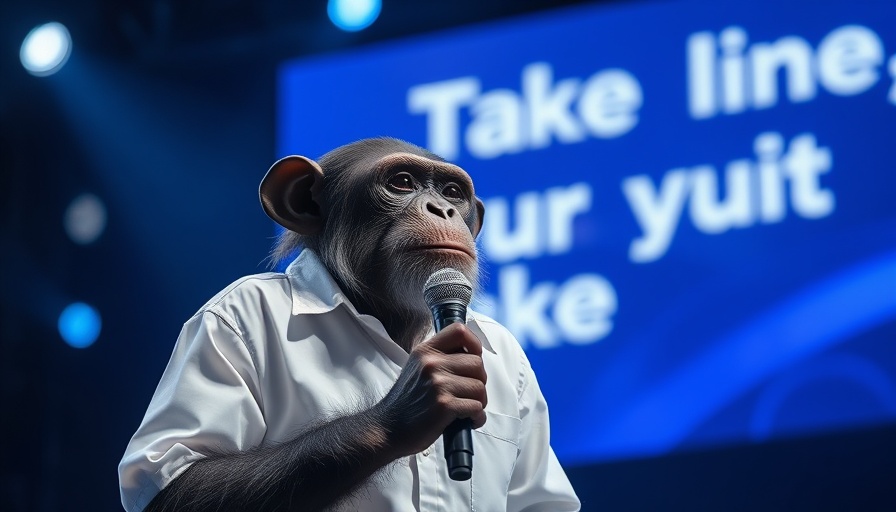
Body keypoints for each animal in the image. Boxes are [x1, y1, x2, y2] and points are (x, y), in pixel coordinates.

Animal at [117, 137, 580, 512]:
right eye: (402, 182)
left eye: (452, 192)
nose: (443, 209)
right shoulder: (219, 319)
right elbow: (183, 474)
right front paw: (422, 392)